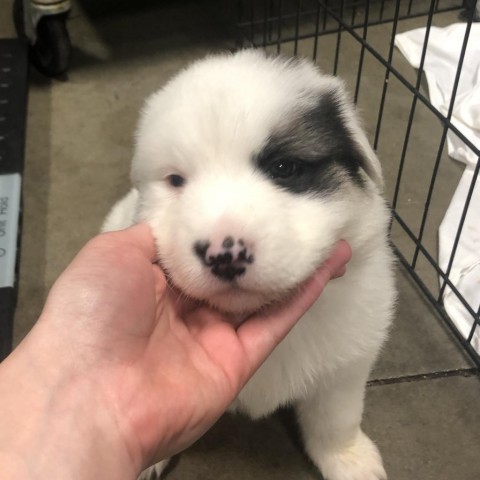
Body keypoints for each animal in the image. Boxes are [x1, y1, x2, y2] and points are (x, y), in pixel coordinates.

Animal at [103, 49, 396, 480]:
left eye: (284, 168)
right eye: (176, 181)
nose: (225, 255)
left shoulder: (346, 363)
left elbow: (336, 418)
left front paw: (349, 459)